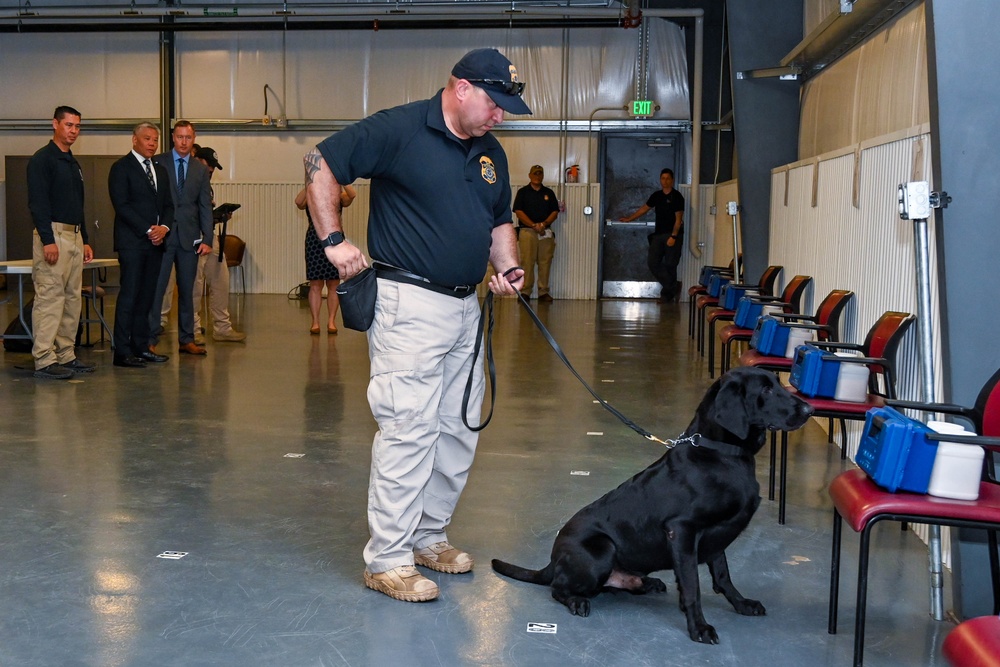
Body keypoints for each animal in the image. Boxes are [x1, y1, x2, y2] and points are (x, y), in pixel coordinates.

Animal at [490, 368, 812, 644]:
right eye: (766, 390)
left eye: (778, 383)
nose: (810, 410)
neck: (722, 453)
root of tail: (552, 560)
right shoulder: (682, 530)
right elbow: (693, 585)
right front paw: (699, 627)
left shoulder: (717, 534)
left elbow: (722, 576)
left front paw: (742, 604)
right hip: (602, 550)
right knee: (558, 588)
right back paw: (577, 601)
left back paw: (646, 584)